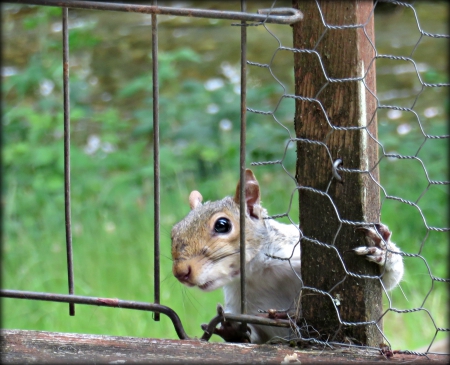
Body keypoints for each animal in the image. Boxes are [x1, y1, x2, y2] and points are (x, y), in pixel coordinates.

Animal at [171, 169, 404, 342]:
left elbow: (385, 281)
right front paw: (233, 330)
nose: (180, 272)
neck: (258, 275)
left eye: (222, 225)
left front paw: (381, 249)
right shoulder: (240, 304)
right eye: (173, 231)